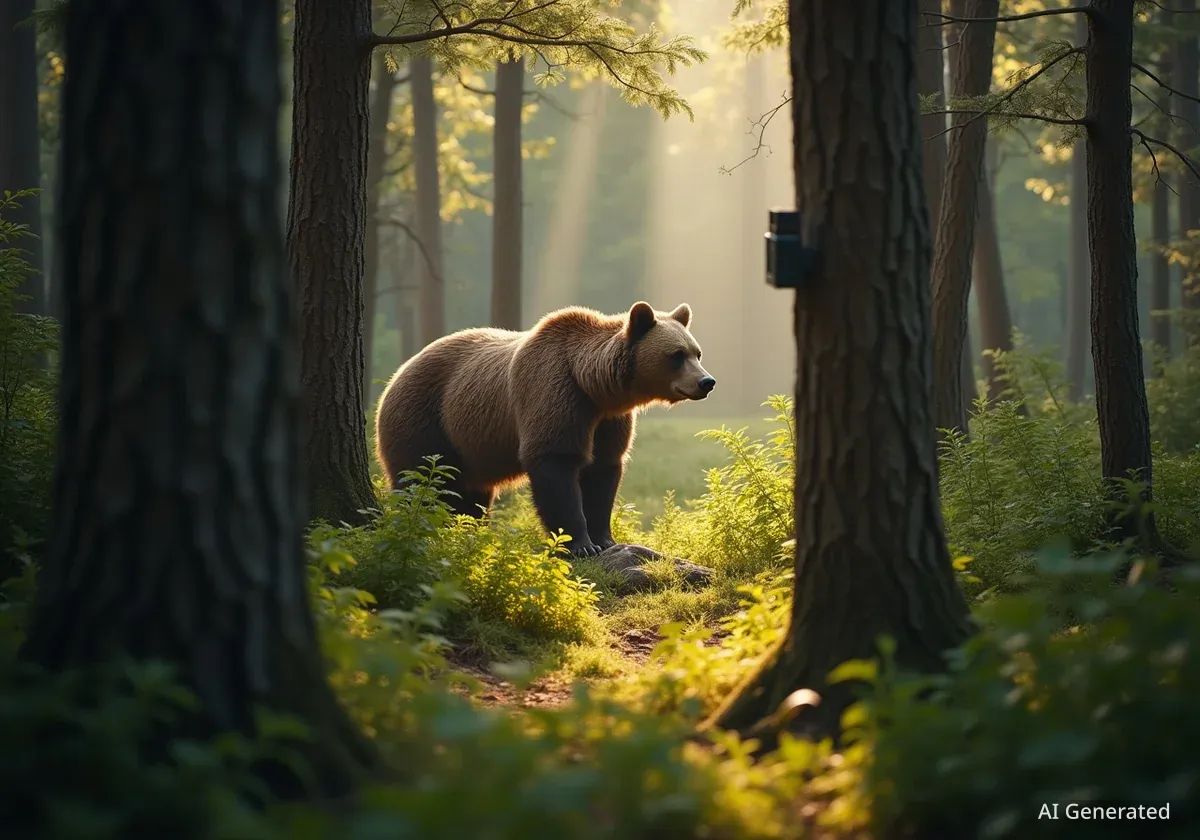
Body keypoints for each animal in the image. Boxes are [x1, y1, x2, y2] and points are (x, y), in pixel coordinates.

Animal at [374, 301, 715, 557]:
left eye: (697, 352)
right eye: (676, 355)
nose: (706, 381)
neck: (592, 385)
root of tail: (394, 376)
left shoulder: (608, 420)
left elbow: (603, 470)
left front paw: (605, 539)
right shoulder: (554, 391)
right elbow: (556, 463)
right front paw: (580, 545)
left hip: (470, 448)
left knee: (470, 495)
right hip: (425, 419)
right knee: (419, 478)